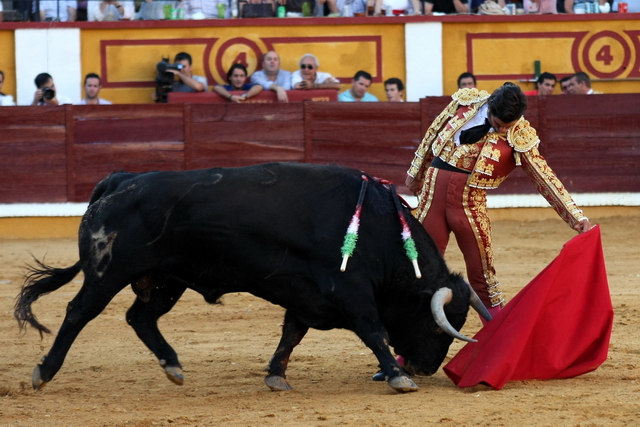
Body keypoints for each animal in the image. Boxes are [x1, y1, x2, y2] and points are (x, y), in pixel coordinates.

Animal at [15, 163, 488, 394]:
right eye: (439, 326)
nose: (426, 368)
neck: (380, 231)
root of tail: (120, 180)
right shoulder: (350, 291)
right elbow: (373, 331)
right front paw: (397, 376)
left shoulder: (308, 296)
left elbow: (291, 333)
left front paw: (276, 376)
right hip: (107, 272)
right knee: (78, 312)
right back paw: (44, 372)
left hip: (166, 280)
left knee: (141, 318)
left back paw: (174, 367)